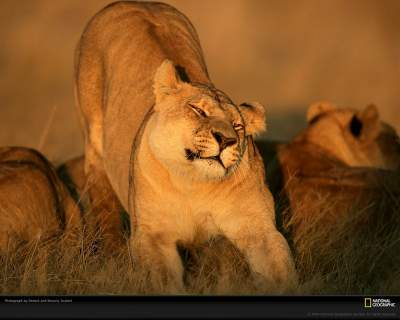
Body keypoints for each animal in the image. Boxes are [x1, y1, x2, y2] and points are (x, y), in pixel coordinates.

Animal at [74, 1, 296, 294]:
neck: (194, 184)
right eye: (198, 110)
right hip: (94, 141)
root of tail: (136, 2)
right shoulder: (152, 236)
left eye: (237, 126)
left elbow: (279, 269)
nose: (226, 140)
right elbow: (164, 281)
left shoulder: (259, 228)